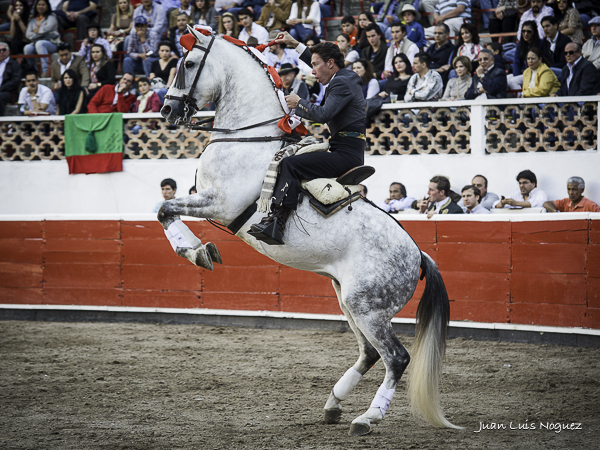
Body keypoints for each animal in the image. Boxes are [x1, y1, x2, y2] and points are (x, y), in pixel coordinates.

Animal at [158, 26, 460, 434]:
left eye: (189, 63)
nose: (168, 110)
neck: (245, 137)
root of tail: (419, 256)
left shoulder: (219, 203)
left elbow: (163, 209)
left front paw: (198, 252)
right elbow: (164, 209)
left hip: (367, 307)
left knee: (396, 357)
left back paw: (367, 417)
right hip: (349, 301)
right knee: (369, 353)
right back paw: (333, 404)